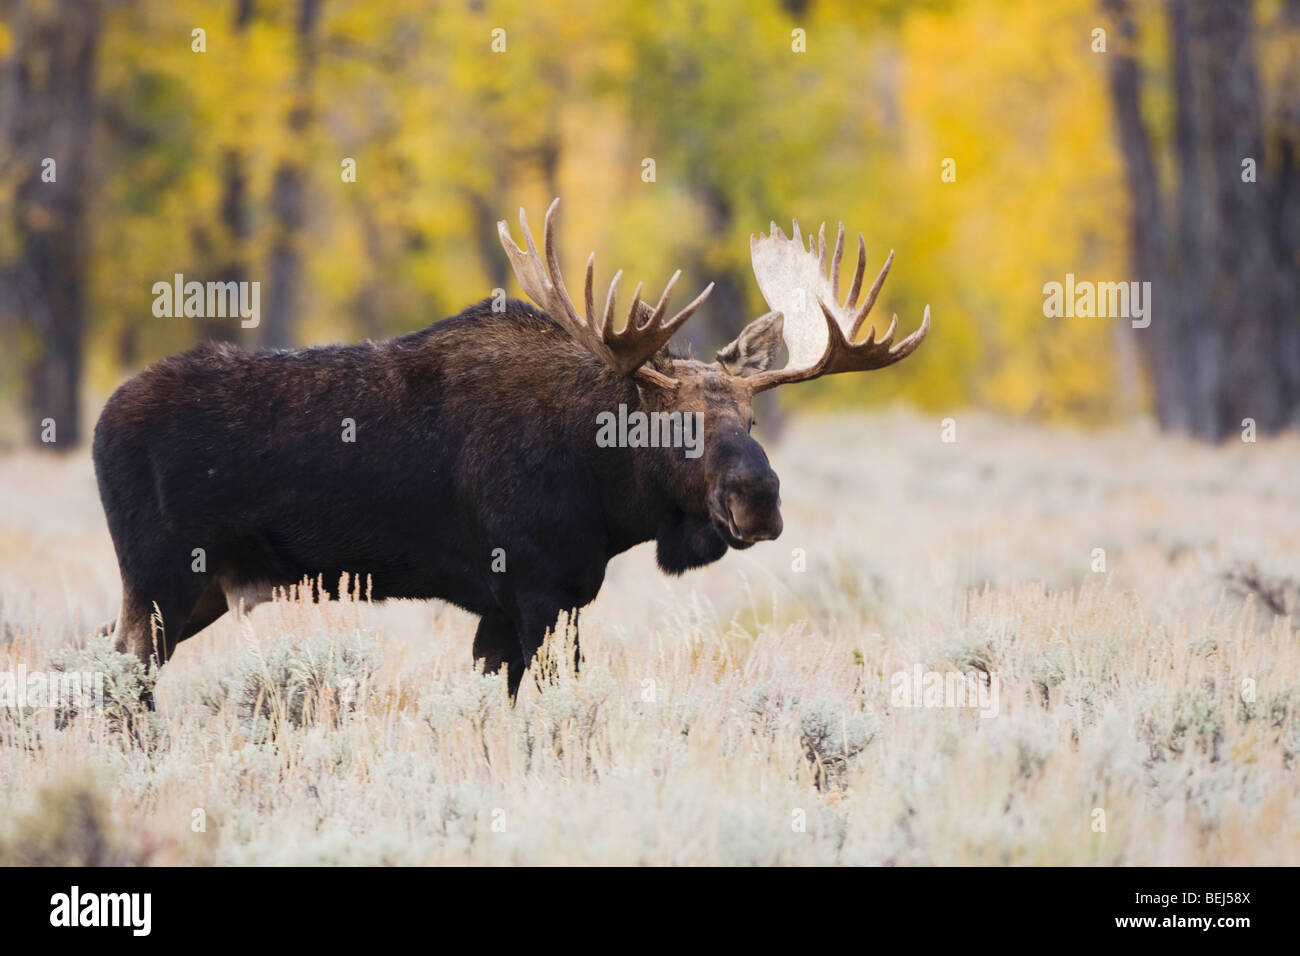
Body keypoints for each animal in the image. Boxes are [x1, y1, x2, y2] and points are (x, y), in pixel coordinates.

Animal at [91, 201, 930, 697]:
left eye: (752, 423)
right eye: (677, 425)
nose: (759, 501)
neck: (608, 493)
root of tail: (99, 423)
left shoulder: (515, 605)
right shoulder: (536, 587)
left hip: (195, 589)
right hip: (161, 575)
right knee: (121, 674)